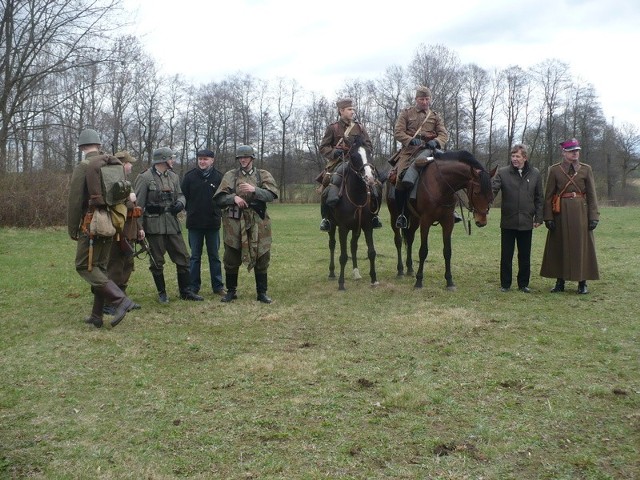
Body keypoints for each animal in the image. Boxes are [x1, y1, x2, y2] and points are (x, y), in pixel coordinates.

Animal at [330, 137, 380, 290]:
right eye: (353, 156)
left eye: (370, 153)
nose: (370, 177)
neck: (357, 197)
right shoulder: (342, 228)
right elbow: (343, 256)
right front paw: (341, 283)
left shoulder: (367, 227)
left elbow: (371, 252)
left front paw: (374, 279)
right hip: (332, 226)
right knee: (332, 245)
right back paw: (331, 273)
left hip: (356, 229)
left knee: (353, 246)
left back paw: (356, 273)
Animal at [384, 150, 496, 290]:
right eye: (476, 192)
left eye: (491, 193)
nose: (482, 221)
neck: (441, 185)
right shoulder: (425, 222)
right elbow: (423, 251)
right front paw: (419, 281)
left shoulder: (448, 222)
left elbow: (447, 251)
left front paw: (449, 281)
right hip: (395, 216)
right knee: (398, 241)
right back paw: (400, 270)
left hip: (414, 219)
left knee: (409, 239)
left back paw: (410, 269)